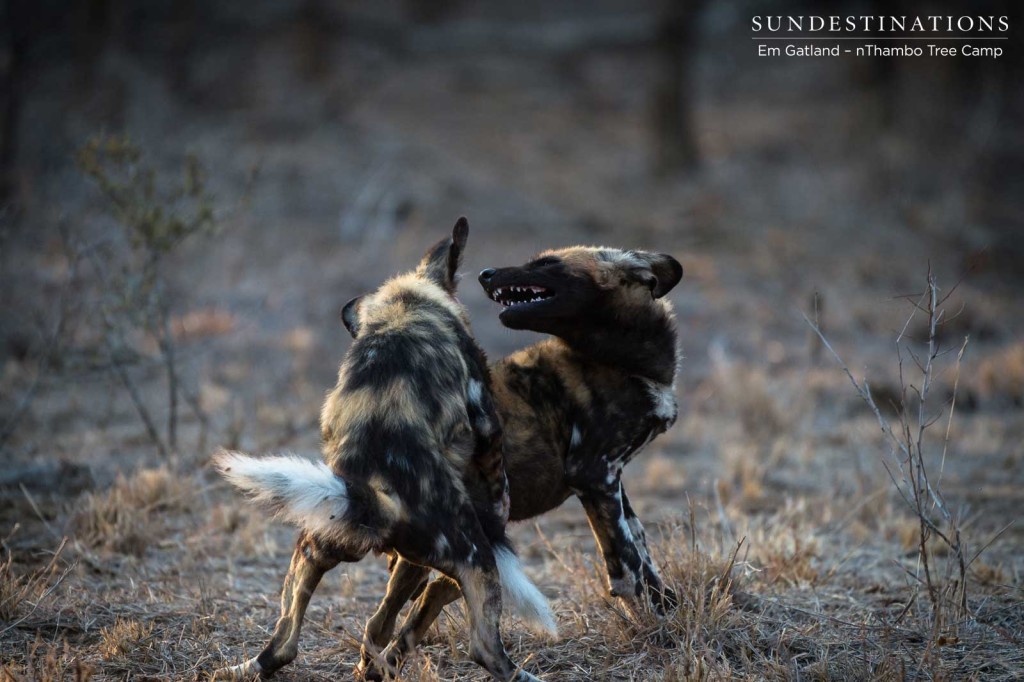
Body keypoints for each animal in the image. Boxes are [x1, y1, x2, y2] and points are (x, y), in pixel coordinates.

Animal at [210, 219, 557, 679]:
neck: (404, 308)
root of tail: (381, 497)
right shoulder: (483, 416)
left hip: (314, 545)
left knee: (293, 640)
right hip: (476, 559)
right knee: (483, 647)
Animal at [364, 245, 684, 659]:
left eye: (547, 263)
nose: (485, 274)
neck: (624, 358)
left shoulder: (611, 481)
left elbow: (642, 547)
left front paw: (666, 608)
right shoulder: (594, 475)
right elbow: (628, 563)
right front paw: (657, 625)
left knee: (409, 607)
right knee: (390, 614)